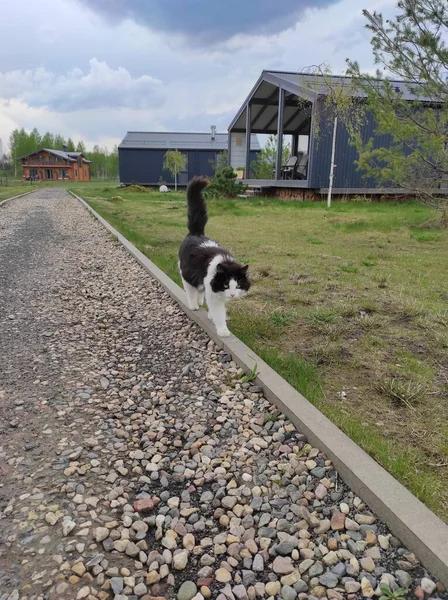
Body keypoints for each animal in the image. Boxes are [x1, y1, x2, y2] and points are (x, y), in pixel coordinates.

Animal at [178, 177, 250, 338]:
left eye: (238, 286)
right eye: (226, 285)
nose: (232, 295)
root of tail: (196, 232)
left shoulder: (212, 291)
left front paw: (211, 315)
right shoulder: (213, 294)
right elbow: (219, 314)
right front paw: (223, 330)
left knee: (199, 290)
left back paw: (199, 302)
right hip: (186, 273)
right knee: (190, 290)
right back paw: (193, 305)